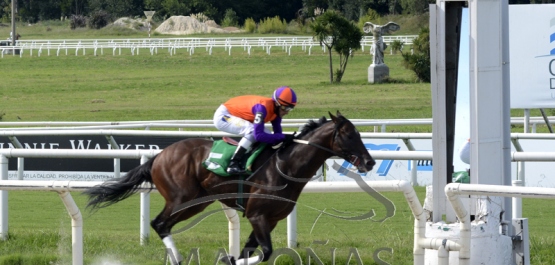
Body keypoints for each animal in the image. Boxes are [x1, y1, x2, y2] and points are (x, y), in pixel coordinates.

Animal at [83, 110, 378, 262]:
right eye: (349, 135)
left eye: (359, 133)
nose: (370, 161)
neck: (285, 166)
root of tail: (159, 155)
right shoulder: (257, 215)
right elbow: (265, 252)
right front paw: (228, 258)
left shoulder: (269, 219)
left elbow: (252, 249)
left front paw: (232, 258)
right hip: (183, 200)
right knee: (159, 223)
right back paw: (177, 259)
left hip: (197, 202)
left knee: (162, 224)